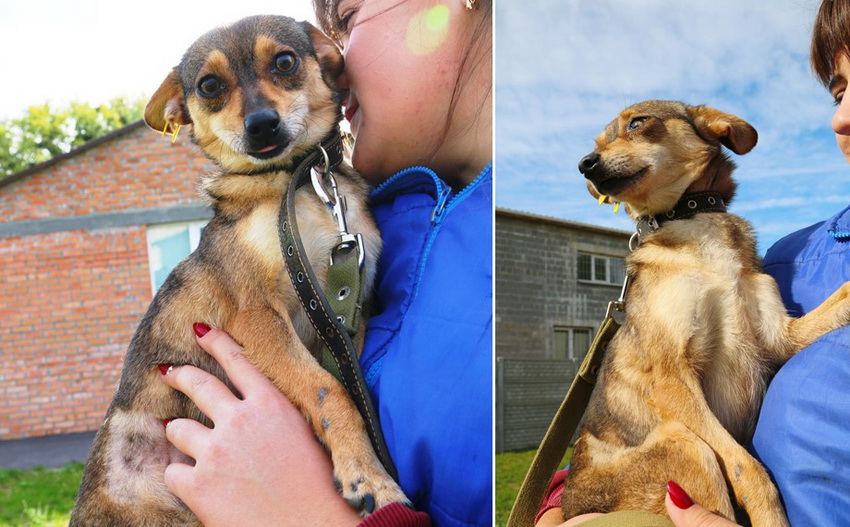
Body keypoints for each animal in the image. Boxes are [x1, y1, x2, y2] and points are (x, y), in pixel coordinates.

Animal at [69, 14, 408, 524]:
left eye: (285, 62)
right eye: (209, 86)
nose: (261, 125)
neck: (298, 182)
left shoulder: (351, 309)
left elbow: (347, 383)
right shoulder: (256, 313)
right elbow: (330, 389)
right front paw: (371, 479)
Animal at [564, 101, 848, 524]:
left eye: (638, 122)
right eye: (597, 144)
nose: (585, 164)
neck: (692, 218)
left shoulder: (780, 338)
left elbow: (835, 301)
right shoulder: (673, 376)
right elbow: (748, 469)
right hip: (686, 445)